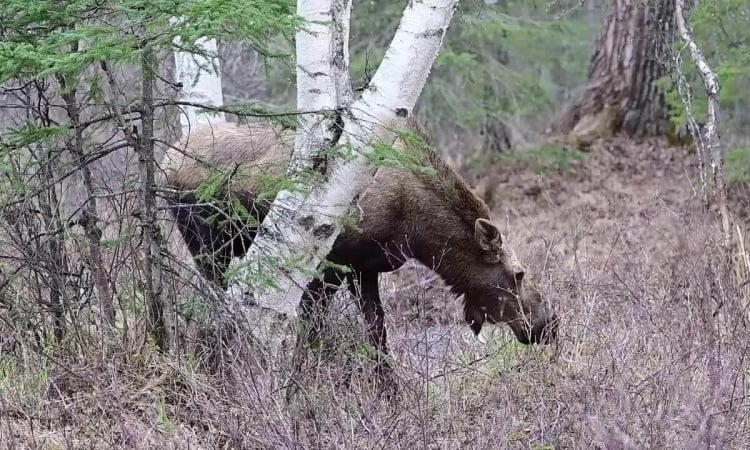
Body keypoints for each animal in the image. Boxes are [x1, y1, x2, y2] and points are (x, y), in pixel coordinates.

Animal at [159, 120, 560, 358]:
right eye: (518, 274)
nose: (548, 325)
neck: (416, 227)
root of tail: (166, 161)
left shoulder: (364, 269)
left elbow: (377, 334)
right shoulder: (329, 266)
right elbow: (313, 334)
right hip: (208, 243)